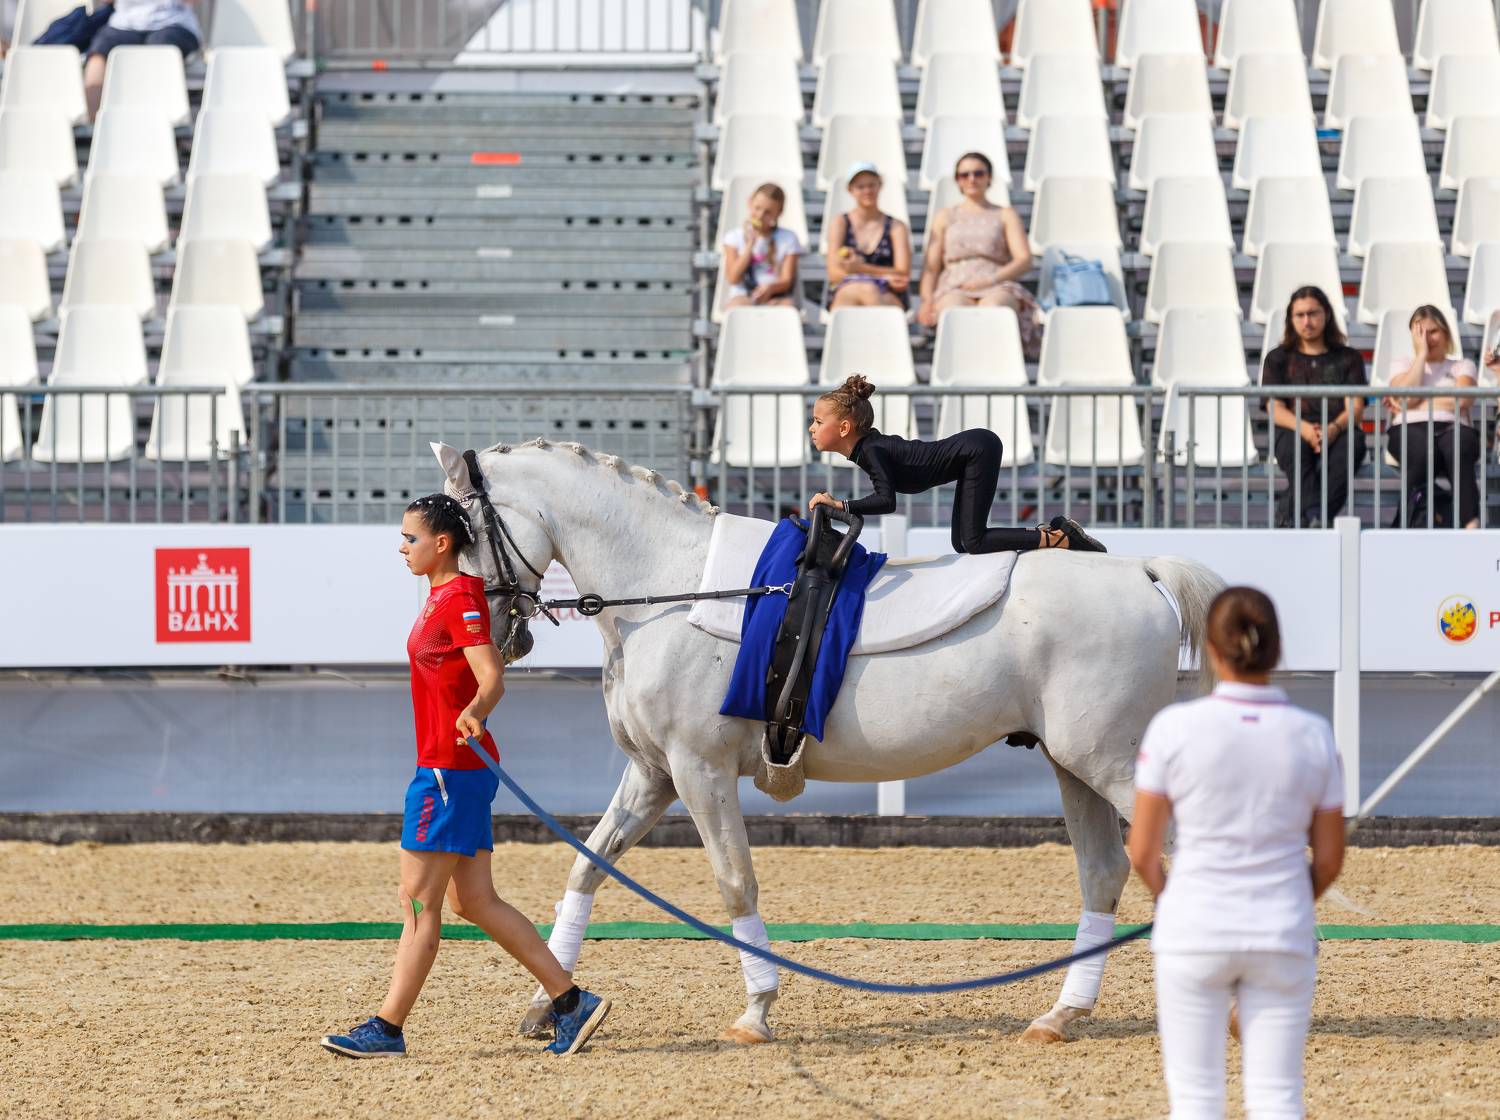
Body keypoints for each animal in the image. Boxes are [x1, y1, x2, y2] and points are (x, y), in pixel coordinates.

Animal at [432, 438, 1223, 1044]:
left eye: (463, 530)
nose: (483, 628)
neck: (671, 589)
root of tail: (1140, 570)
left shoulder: (699, 770)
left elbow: (735, 881)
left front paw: (756, 1011)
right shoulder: (652, 775)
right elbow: (586, 868)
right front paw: (549, 1005)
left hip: (1112, 762)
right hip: (1073, 765)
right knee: (1104, 874)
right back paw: (1060, 1016)